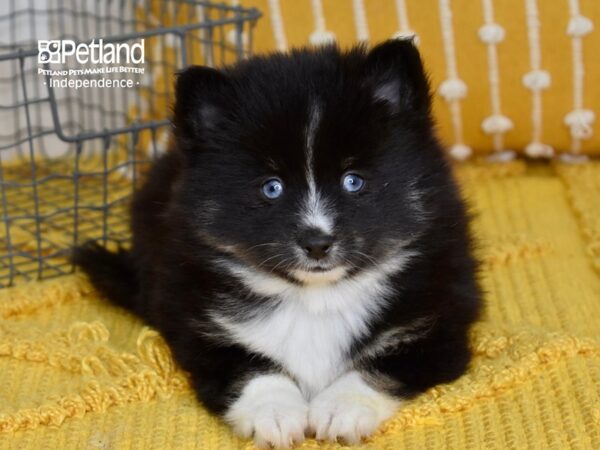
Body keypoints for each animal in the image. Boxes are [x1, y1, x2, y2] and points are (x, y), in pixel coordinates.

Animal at [72, 40, 480, 448]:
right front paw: (275, 413)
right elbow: (246, 364)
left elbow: (383, 363)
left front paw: (341, 408)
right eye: (272, 187)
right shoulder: (197, 322)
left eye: (353, 181)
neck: (317, 298)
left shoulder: (436, 322)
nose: (317, 243)